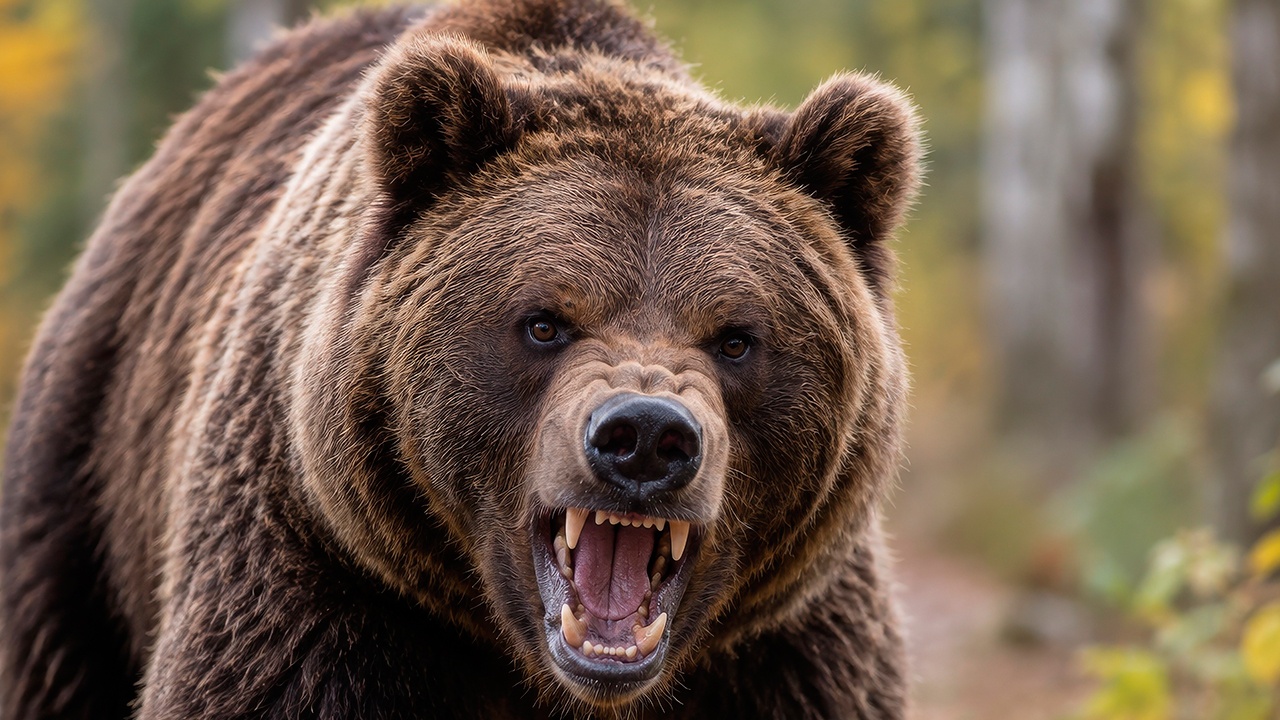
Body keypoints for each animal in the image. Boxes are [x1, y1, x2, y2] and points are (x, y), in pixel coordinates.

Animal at [0, 0, 922, 717]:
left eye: (735, 336)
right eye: (544, 322)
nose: (646, 439)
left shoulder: (784, 654)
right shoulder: (320, 587)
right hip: (82, 484)